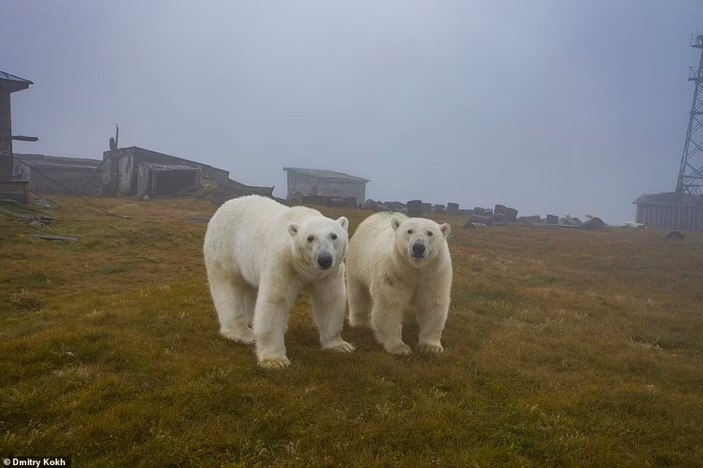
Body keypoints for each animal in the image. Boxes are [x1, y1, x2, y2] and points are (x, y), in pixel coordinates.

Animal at [204, 195, 358, 370]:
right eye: (310, 238)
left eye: (334, 236)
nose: (324, 259)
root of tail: (226, 204)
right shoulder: (283, 263)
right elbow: (274, 301)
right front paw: (275, 360)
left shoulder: (328, 274)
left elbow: (330, 300)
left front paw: (340, 345)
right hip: (225, 247)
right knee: (228, 287)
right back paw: (242, 333)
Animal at [346, 212, 452, 354]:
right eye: (410, 231)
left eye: (430, 233)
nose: (418, 247)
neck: (414, 269)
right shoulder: (393, 271)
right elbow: (390, 304)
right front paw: (399, 347)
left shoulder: (434, 274)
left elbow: (432, 304)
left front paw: (431, 347)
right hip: (357, 261)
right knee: (358, 293)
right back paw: (359, 321)